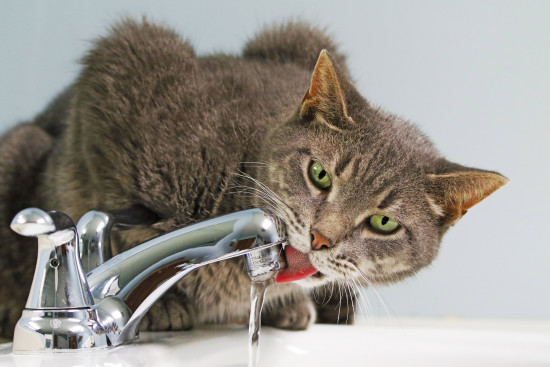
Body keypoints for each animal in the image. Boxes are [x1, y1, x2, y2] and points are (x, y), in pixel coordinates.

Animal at [0, 18, 508, 338]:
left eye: (384, 223)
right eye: (320, 175)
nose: (321, 239)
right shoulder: (122, 62)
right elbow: (106, 223)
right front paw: (157, 304)